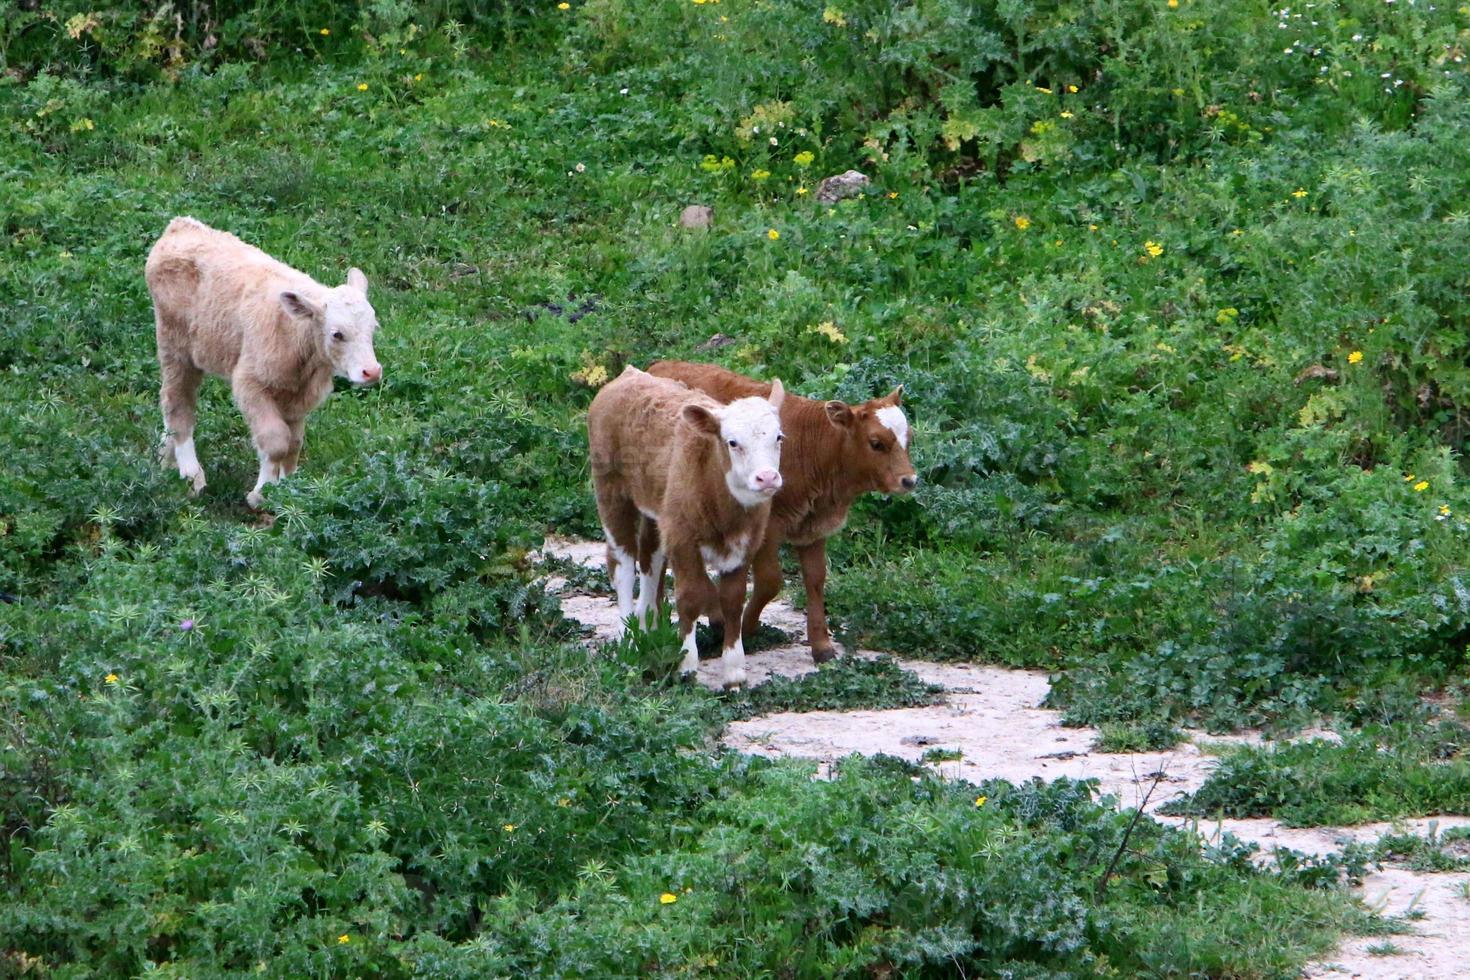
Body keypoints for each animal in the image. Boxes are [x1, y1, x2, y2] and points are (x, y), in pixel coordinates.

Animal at [144, 218, 379, 511]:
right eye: (337, 334)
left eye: (374, 328)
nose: (372, 372)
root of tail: (180, 225)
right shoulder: (251, 383)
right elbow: (276, 439)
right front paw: (262, 493)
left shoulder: (298, 395)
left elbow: (294, 442)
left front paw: (291, 489)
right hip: (175, 345)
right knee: (177, 401)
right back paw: (191, 475)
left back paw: (164, 460)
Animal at [649, 359, 911, 667]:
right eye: (876, 443)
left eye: (909, 438)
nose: (909, 480)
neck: (815, 449)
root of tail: (661, 364)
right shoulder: (768, 527)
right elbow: (770, 581)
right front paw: (745, 625)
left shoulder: (813, 528)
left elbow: (816, 579)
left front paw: (821, 645)